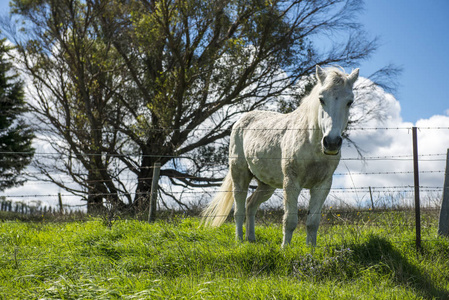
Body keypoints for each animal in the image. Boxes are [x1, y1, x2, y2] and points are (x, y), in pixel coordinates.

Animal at [201, 65, 358, 246]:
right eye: (321, 99)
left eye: (350, 102)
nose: (331, 143)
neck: (312, 143)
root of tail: (241, 120)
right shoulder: (291, 183)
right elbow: (290, 220)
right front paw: (285, 248)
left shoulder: (323, 185)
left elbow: (312, 222)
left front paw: (311, 249)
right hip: (239, 174)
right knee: (239, 208)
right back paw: (239, 240)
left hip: (266, 184)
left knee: (250, 205)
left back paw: (251, 238)